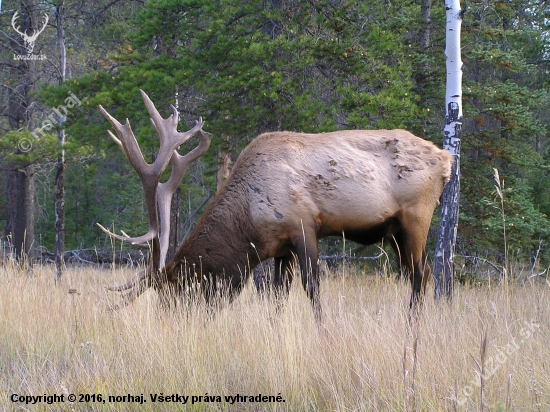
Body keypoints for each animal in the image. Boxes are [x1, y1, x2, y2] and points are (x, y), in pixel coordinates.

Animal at [99, 91, 452, 320]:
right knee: (420, 272)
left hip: (416, 217)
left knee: (422, 273)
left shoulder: (303, 227)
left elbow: (312, 290)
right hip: (394, 232)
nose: (168, 323)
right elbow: (277, 297)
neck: (249, 225)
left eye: (178, 291)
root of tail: (446, 159)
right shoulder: (281, 249)